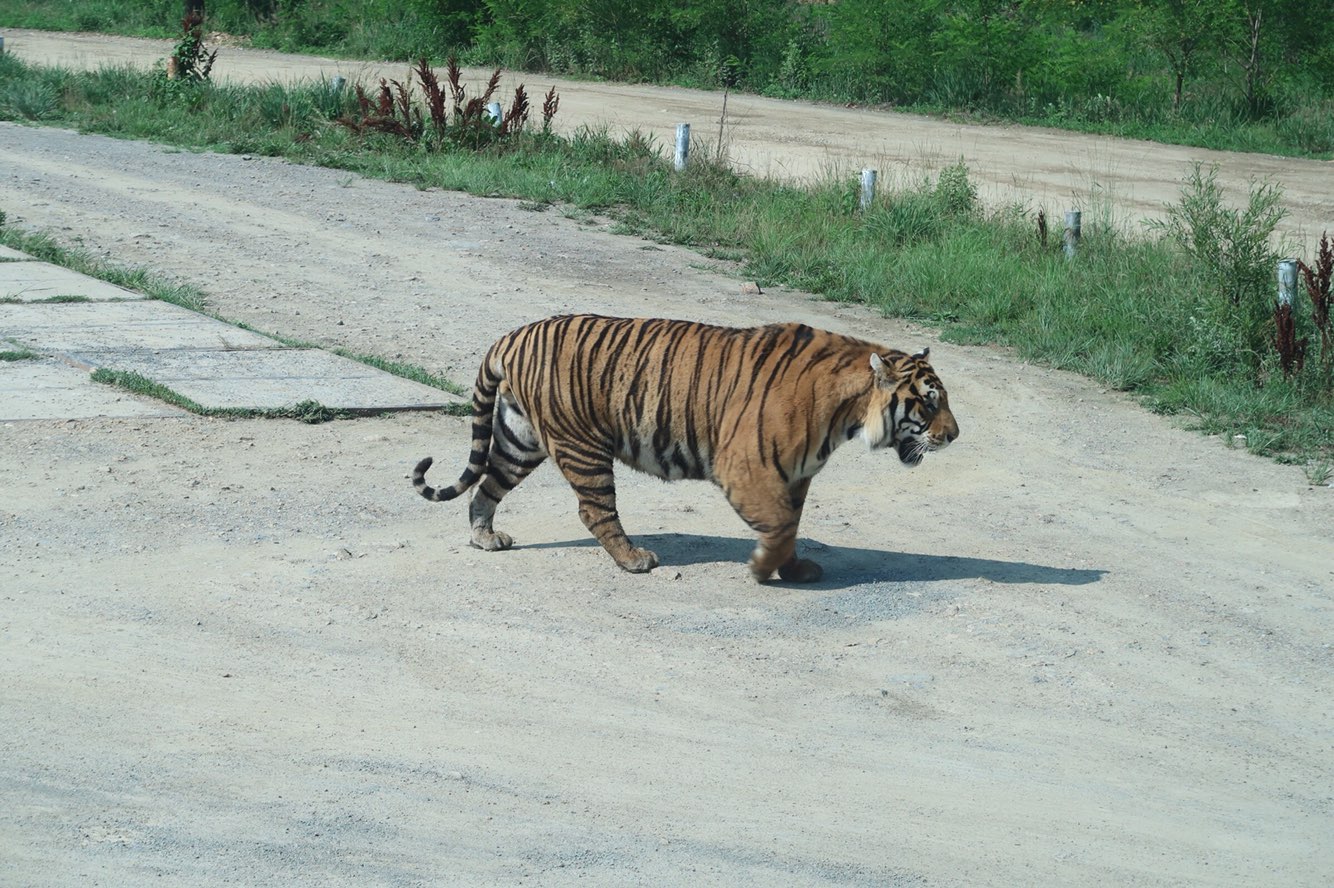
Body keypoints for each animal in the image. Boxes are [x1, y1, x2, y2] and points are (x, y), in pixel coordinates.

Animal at [410, 316, 955, 581]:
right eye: (929, 402)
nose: (954, 435)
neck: (848, 414)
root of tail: (513, 335)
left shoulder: (794, 476)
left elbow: (792, 527)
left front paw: (795, 568)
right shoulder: (748, 468)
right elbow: (780, 527)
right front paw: (763, 570)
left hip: (520, 440)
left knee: (485, 487)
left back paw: (485, 538)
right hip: (581, 443)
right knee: (594, 510)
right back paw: (634, 559)